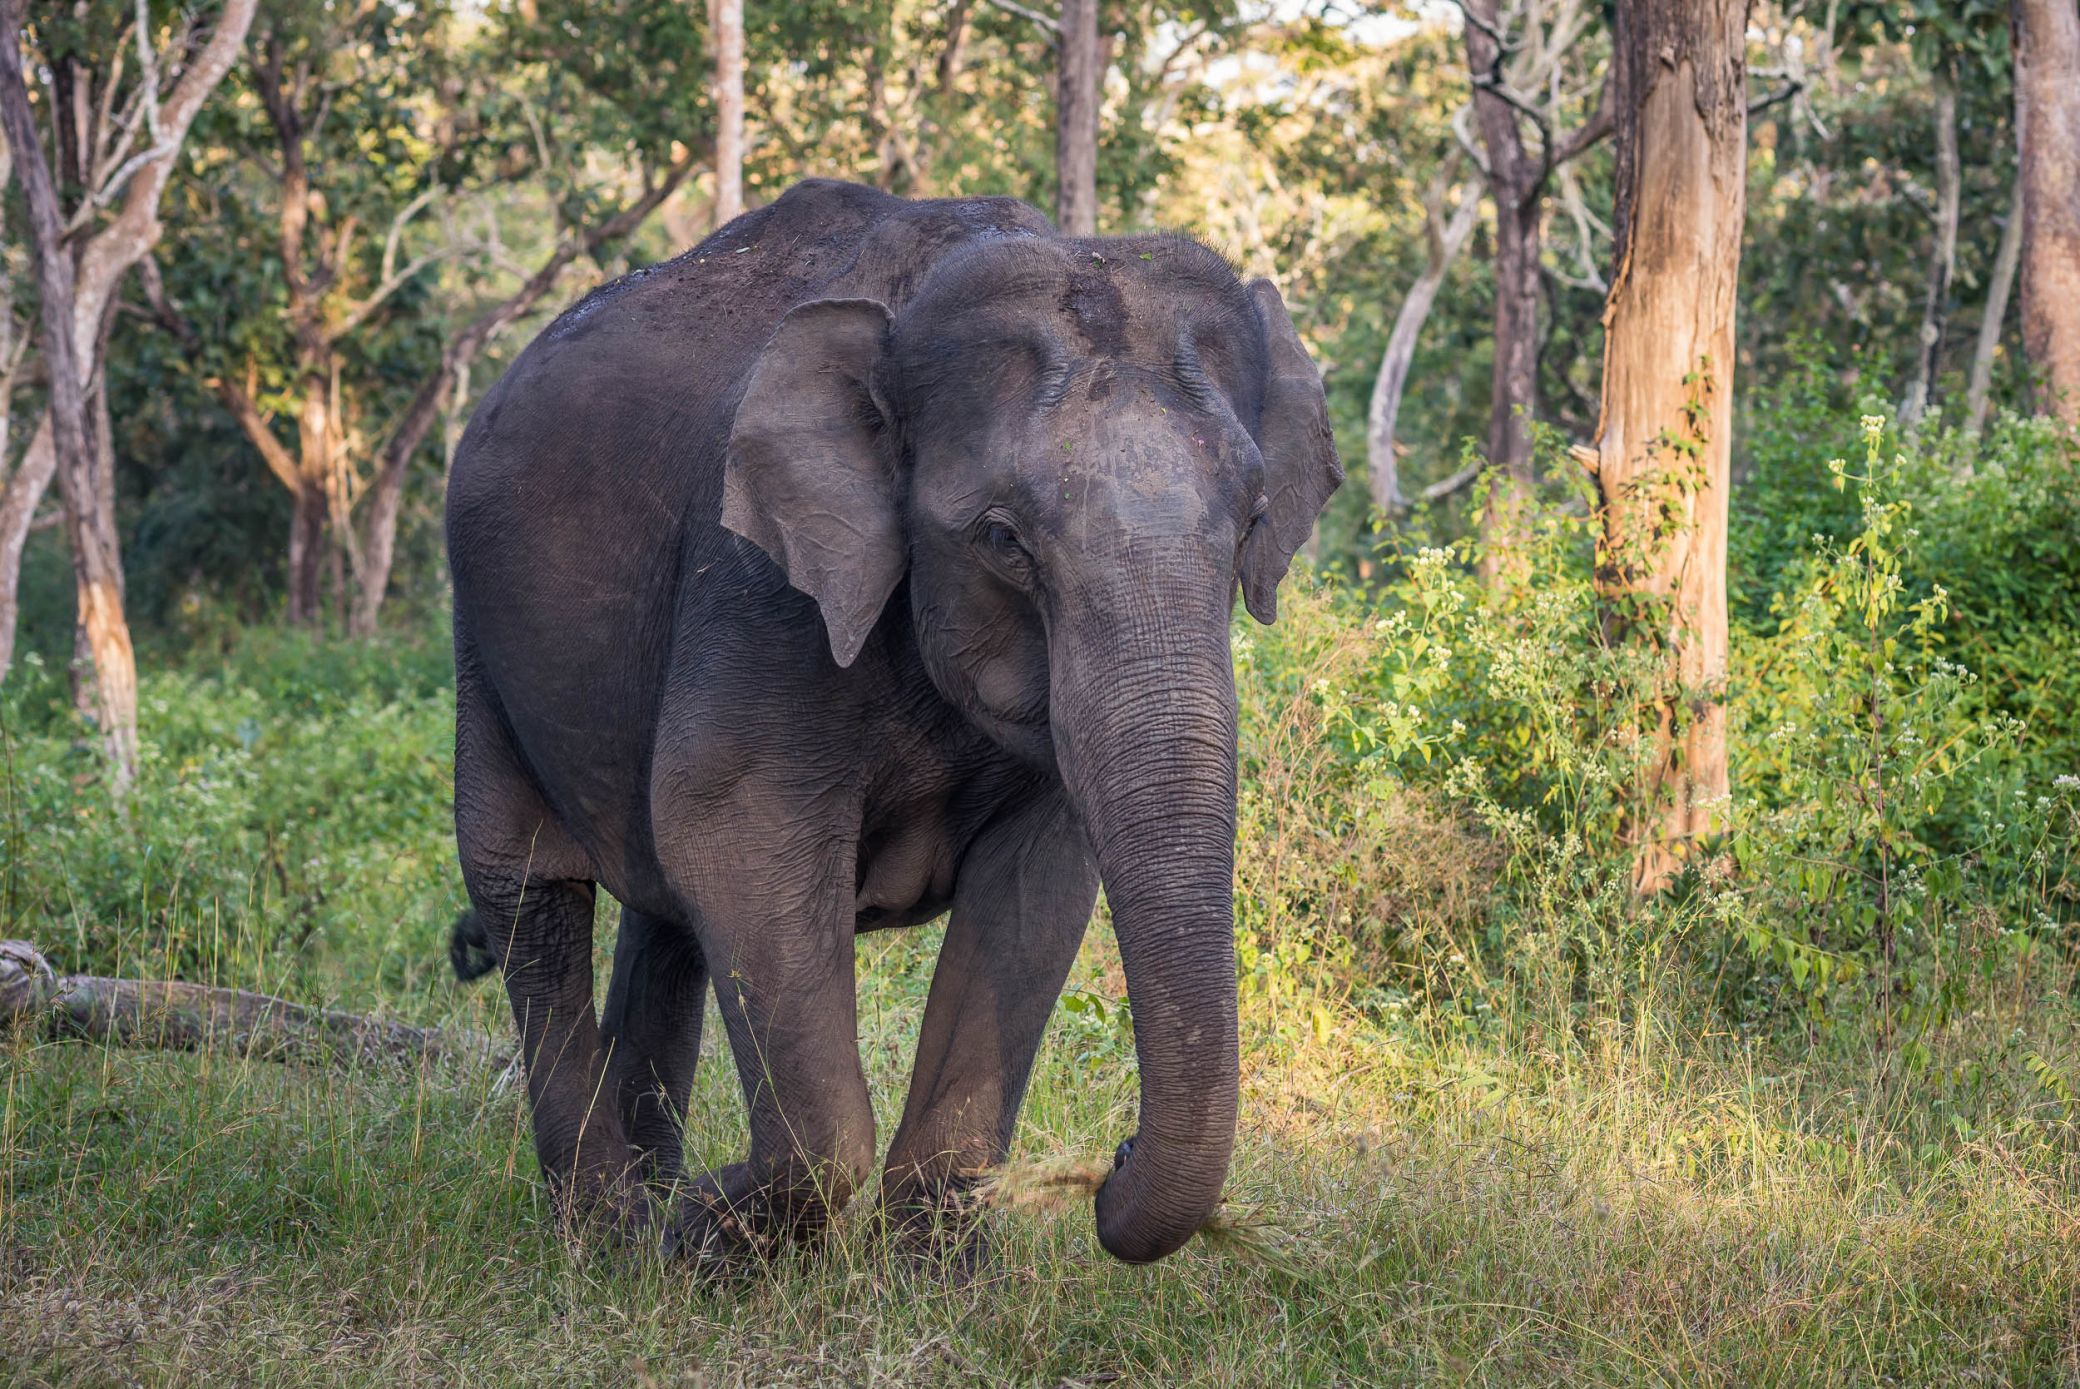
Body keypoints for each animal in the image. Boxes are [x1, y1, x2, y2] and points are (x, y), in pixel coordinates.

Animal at [445, 176, 1339, 1272]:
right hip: (480, 639)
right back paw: (608, 1232)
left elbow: (1035, 888)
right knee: (529, 885)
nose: (1113, 1159)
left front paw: (933, 1278)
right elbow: (731, 835)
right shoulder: (755, 586)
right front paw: (709, 1234)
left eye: (1254, 521)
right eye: (1001, 538)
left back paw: (645, 1200)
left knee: (659, 910)